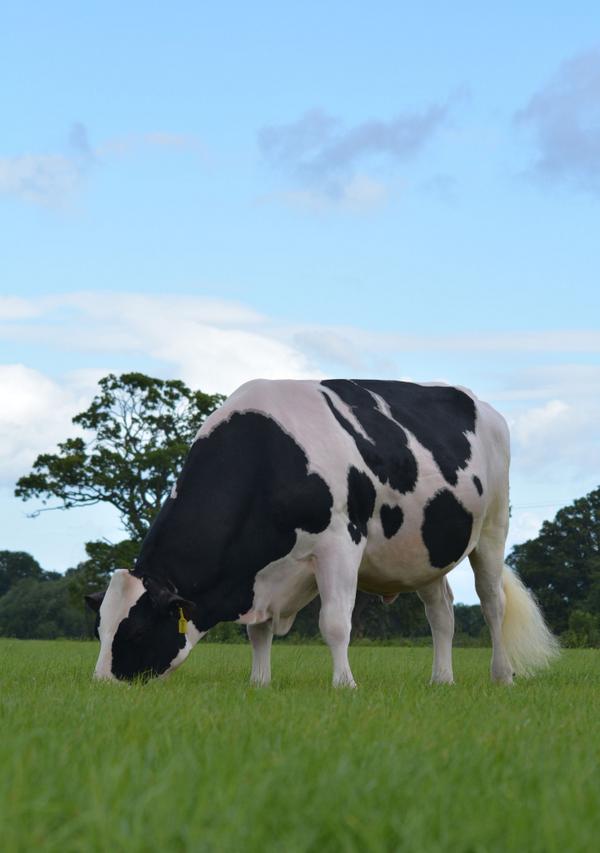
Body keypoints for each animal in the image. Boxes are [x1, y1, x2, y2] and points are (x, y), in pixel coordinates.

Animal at [86, 378, 558, 686]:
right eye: (99, 630)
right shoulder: (261, 573)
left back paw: (502, 676)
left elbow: (334, 623)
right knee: (441, 612)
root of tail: (477, 402)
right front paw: (259, 683)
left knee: (492, 603)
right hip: (423, 549)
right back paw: (441, 679)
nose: (103, 684)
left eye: (137, 631)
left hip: (493, 528)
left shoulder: (340, 543)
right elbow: (257, 632)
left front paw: (344, 685)